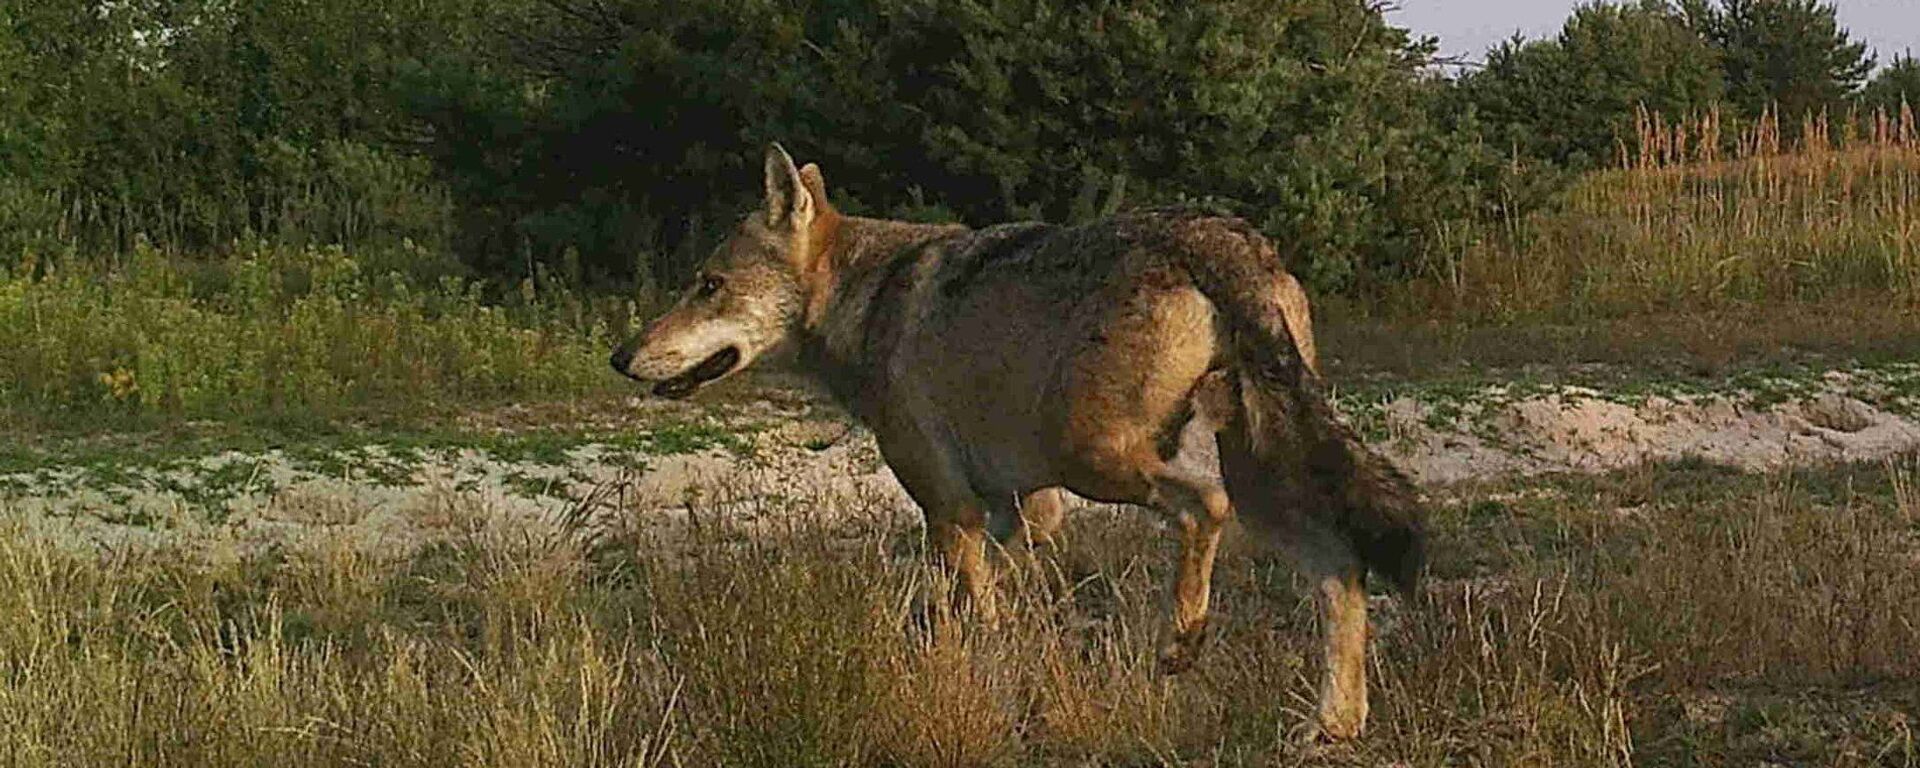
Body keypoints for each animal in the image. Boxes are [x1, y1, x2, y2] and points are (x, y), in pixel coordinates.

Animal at [610, 145, 1426, 739]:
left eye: (707, 285)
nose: (621, 357)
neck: (866, 299)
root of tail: (1221, 236)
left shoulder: (952, 509)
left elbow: (974, 617)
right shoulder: (1019, 512)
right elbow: (959, 612)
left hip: (1105, 459)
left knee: (1207, 508)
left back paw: (1183, 643)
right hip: (1252, 480)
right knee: (1342, 568)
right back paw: (1334, 727)